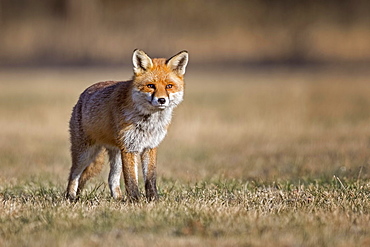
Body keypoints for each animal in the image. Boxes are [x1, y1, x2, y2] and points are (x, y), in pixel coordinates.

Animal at [66, 49, 188, 202]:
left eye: (169, 86)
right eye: (151, 86)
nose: (161, 100)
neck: (148, 122)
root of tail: (83, 95)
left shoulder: (150, 146)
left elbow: (150, 179)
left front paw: (153, 200)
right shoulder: (129, 148)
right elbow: (131, 180)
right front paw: (135, 201)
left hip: (117, 154)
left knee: (111, 178)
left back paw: (118, 198)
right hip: (85, 153)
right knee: (73, 174)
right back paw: (70, 196)